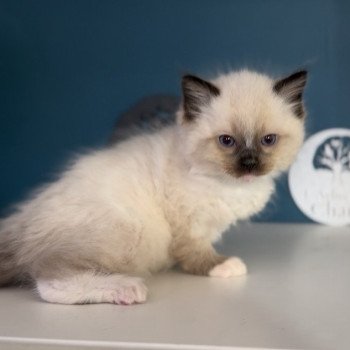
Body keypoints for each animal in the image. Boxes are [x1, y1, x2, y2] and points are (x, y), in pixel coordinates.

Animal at [0, 68, 306, 304]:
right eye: (227, 141)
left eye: (268, 140)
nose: (249, 164)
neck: (230, 185)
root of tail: (23, 219)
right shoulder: (188, 224)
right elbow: (197, 254)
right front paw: (223, 266)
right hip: (127, 231)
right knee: (50, 282)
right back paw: (127, 289)